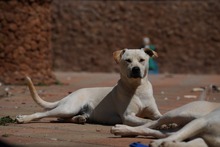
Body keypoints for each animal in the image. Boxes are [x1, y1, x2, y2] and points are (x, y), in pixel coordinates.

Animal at [16, 48, 162, 126]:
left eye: (142, 60)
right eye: (128, 60)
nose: (136, 69)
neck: (138, 89)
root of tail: (69, 95)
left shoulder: (155, 113)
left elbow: (159, 117)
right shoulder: (128, 116)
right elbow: (145, 121)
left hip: (70, 111)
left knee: (63, 118)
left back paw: (80, 118)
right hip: (68, 108)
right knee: (43, 114)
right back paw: (23, 118)